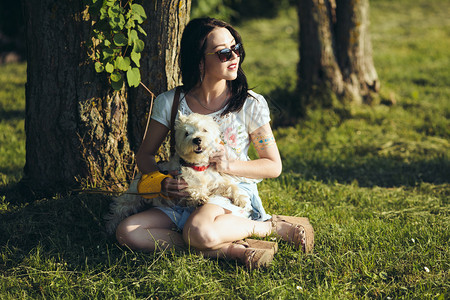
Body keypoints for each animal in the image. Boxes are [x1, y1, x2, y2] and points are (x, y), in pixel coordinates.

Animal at [104, 112, 248, 234]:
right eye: (186, 133)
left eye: (204, 130)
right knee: (119, 209)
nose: (197, 140)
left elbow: (231, 186)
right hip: (132, 197)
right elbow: (194, 189)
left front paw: (241, 199)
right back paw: (110, 228)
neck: (198, 167)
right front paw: (200, 197)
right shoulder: (182, 183)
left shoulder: (216, 182)